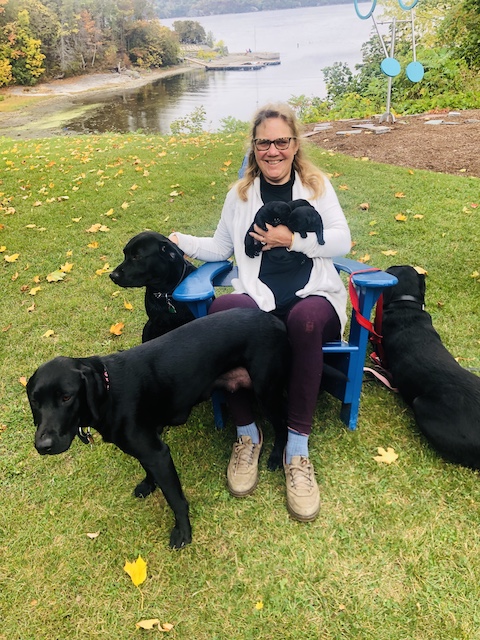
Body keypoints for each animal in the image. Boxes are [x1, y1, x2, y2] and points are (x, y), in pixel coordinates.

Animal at [27, 308, 288, 544]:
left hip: (267, 393)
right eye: (35, 400)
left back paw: (276, 458)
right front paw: (148, 484)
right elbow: (148, 469)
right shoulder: (150, 446)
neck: (109, 392)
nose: (43, 445)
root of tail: (274, 319)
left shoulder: (157, 453)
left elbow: (175, 498)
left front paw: (183, 532)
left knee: (283, 427)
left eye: (66, 397)